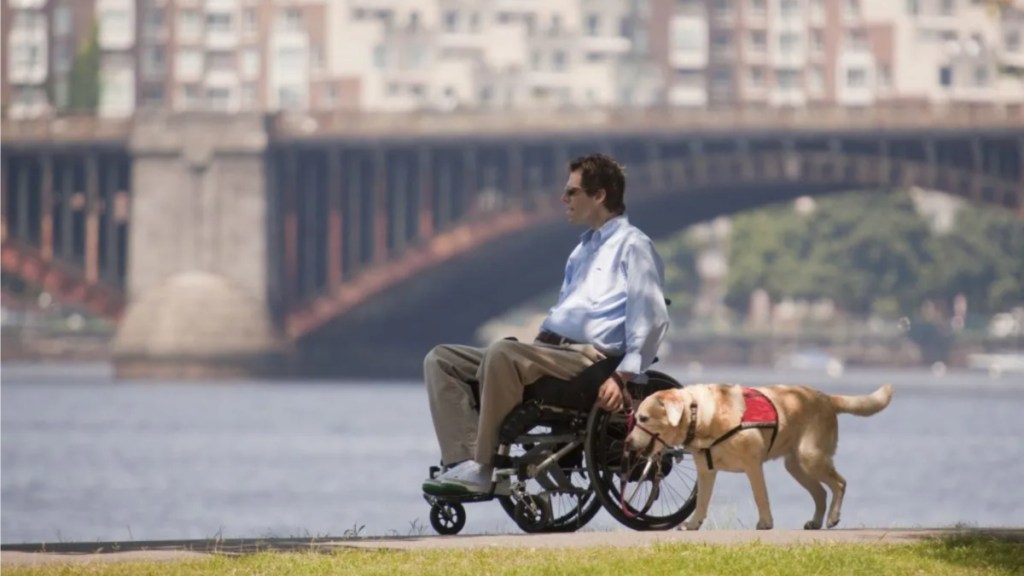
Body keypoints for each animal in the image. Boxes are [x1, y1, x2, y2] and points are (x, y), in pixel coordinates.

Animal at [622, 381, 888, 528]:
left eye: (643, 418)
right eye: (635, 419)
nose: (626, 442)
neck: (701, 415)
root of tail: (826, 397)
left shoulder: (753, 465)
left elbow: (761, 497)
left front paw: (765, 523)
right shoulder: (706, 471)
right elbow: (702, 502)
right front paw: (693, 524)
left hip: (810, 457)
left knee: (839, 483)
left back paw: (833, 517)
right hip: (796, 466)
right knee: (821, 492)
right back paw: (816, 521)